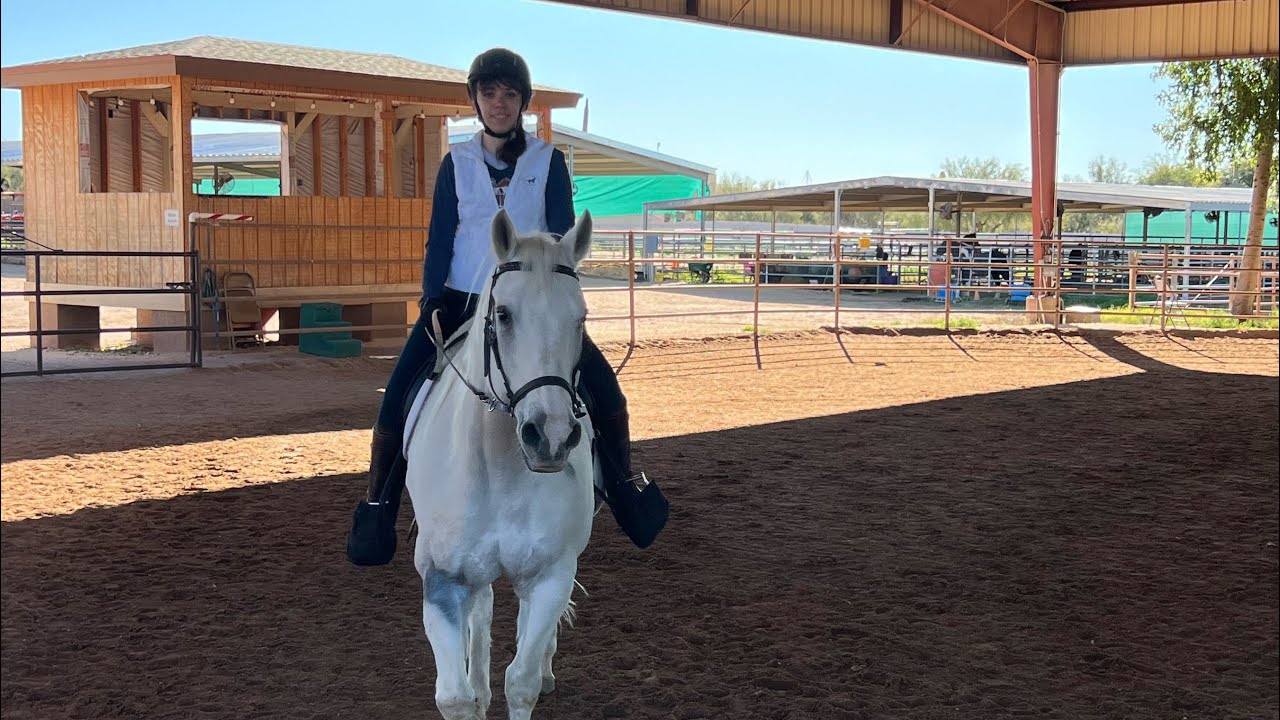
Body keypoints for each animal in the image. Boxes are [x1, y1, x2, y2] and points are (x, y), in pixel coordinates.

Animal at [404, 208, 598, 720]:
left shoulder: (551, 574)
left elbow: (522, 681)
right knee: (484, 610)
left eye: (581, 318)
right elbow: (454, 697)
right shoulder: (444, 581)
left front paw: (533, 675)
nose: (550, 438)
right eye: (504, 315)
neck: (501, 468)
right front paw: (473, 692)